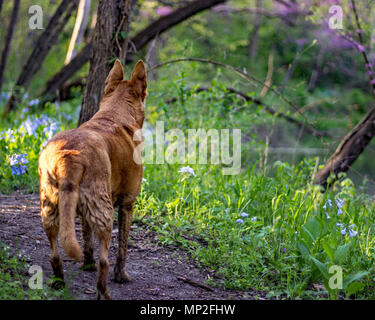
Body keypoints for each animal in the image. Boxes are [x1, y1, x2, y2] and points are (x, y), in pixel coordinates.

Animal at [39, 58, 148, 298]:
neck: (114, 114)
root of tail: (70, 157)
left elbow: (87, 239)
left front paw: (86, 263)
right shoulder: (127, 204)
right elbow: (122, 246)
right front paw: (121, 276)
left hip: (50, 208)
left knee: (54, 252)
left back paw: (59, 281)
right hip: (104, 211)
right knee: (104, 261)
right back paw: (104, 292)